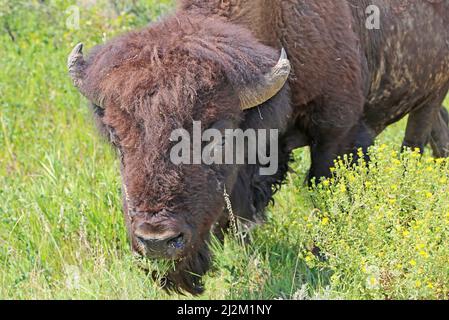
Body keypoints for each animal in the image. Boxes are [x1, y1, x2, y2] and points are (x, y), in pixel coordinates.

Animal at [66, 0, 448, 296]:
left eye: (214, 137)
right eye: (116, 137)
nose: (158, 240)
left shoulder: (336, 132)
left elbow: (324, 192)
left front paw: (322, 255)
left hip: (430, 95)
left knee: (414, 143)